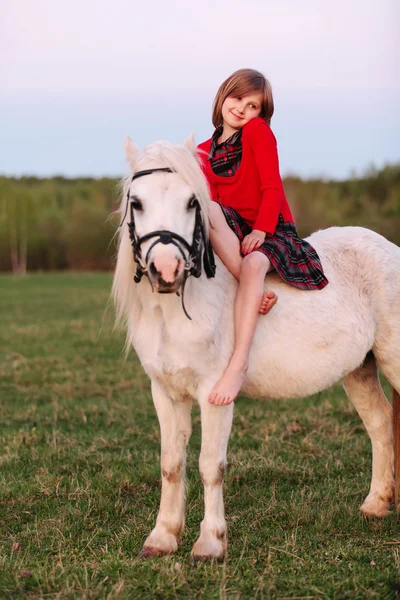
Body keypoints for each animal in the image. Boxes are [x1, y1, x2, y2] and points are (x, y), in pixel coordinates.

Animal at [111, 134, 400, 560]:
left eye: (192, 202)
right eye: (137, 203)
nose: (166, 269)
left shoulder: (213, 395)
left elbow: (210, 465)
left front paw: (210, 543)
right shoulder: (165, 392)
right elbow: (171, 464)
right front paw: (162, 537)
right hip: (359, 367)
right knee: (380, 423)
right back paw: (376, 505)